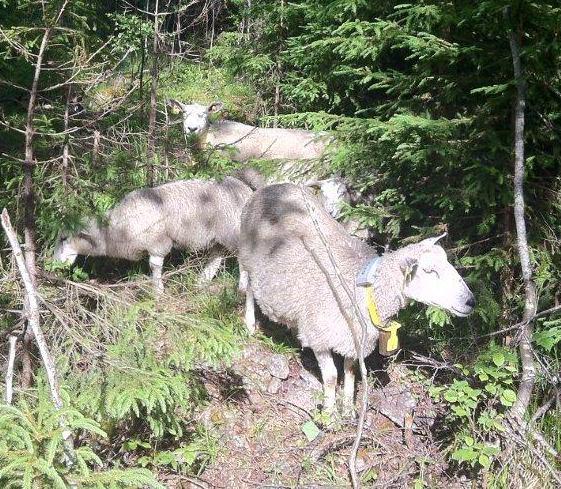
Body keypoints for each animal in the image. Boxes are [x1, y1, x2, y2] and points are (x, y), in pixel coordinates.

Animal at [53, 168, 264, 294]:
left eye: (63, 238)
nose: (53, 265)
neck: (114, 229)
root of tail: (246, 190)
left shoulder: (158, 242)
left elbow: (155, 266)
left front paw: (158, 291)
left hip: (234, 232)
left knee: (242, 260)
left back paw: (241, 288)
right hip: (218, 236)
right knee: (216, 257)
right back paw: (201, 282)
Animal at [238, 183, 474, 412]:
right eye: (429, 271)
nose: (471, 301)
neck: (365, 291)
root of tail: (271, 187)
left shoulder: (354, 339)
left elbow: (350, 371)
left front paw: (349, 408)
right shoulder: (320, 335)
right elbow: (331, 377)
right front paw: (330, 413)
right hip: (248, 257)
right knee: (248, 288)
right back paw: (250, 324)